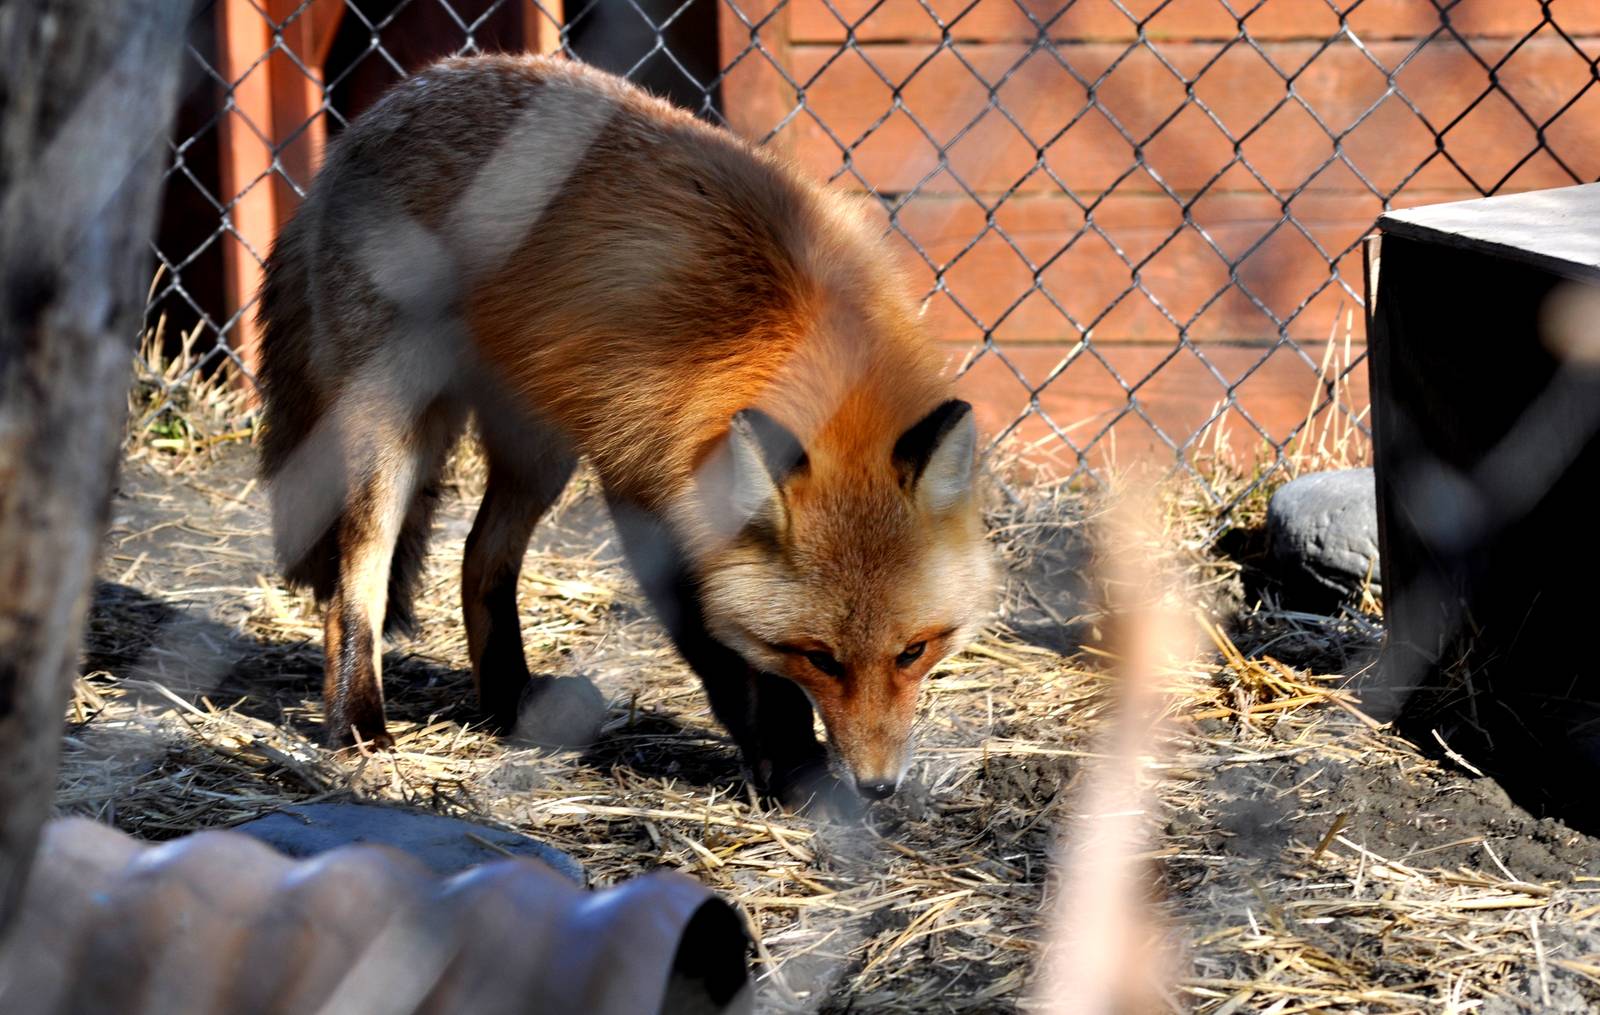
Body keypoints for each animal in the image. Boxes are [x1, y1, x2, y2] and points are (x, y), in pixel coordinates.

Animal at [256, 54, 996, 806]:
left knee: (479, 559)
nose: (879, 786)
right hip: (394, 428)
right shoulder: (644, 480)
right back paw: (357, 723)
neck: (786, 333)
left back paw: (508, 705)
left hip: (541, 449)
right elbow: (726, 655)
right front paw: (793, 767)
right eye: (818, 657)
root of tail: (375, 114)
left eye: (914, 651)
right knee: (355, 583)